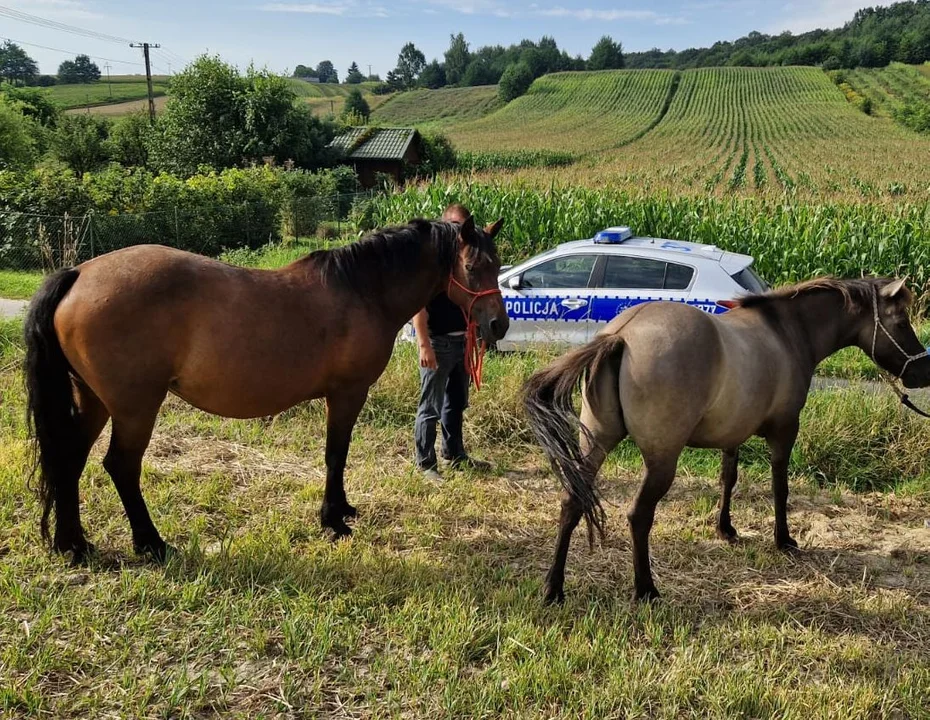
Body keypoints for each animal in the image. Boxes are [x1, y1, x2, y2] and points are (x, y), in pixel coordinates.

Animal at [23, 207, 508, 564]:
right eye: (472, 266)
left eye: (498, 264)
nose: (498, 325)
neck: (363, 290)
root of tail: (79, 274)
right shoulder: (346, 393)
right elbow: (336, 454)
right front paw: (333, 520)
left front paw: (341, 510)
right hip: (135, 408)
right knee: (121, 466)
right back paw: (152, 544)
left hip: (94, 401)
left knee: (69, 460)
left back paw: (74, 545)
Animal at [520, 278, 928, 604]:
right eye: (900, 321)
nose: (921, 373)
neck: (786, 332)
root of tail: (621, 335)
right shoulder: (784, 431)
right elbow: (780, 486)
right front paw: (783, 539)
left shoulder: (733, 432)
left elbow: (727, 479)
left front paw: (725, 528)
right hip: (661, 460)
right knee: (639, 515)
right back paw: (646, 589)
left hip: (596, 445)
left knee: (572, 503)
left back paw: (554, 589)